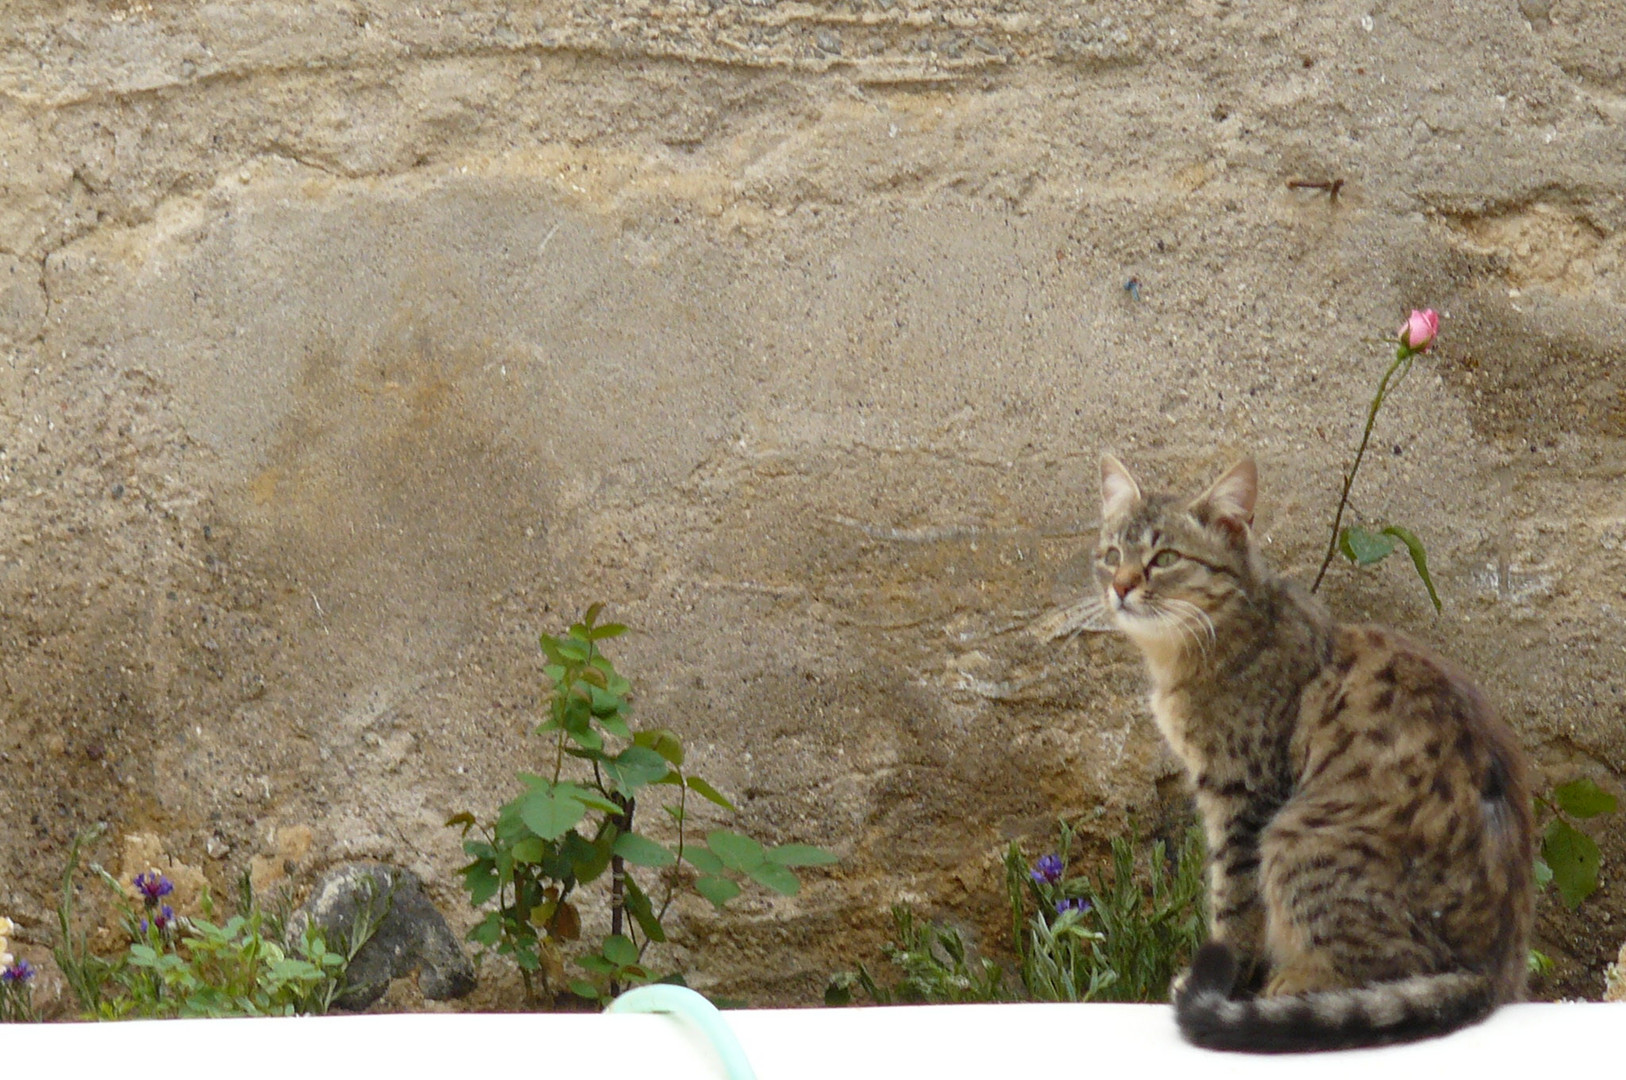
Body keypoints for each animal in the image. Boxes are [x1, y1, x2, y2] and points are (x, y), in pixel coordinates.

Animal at [1092, 452, 1534, 1047]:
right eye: (1112, 554)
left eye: (1164, 559)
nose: (1119, 586)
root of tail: (1494, 972)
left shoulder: (1243, 794)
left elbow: (1233, 903)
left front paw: (1226, 975)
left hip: (1298, 836)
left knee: (1397, 966)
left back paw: (1296, 982)